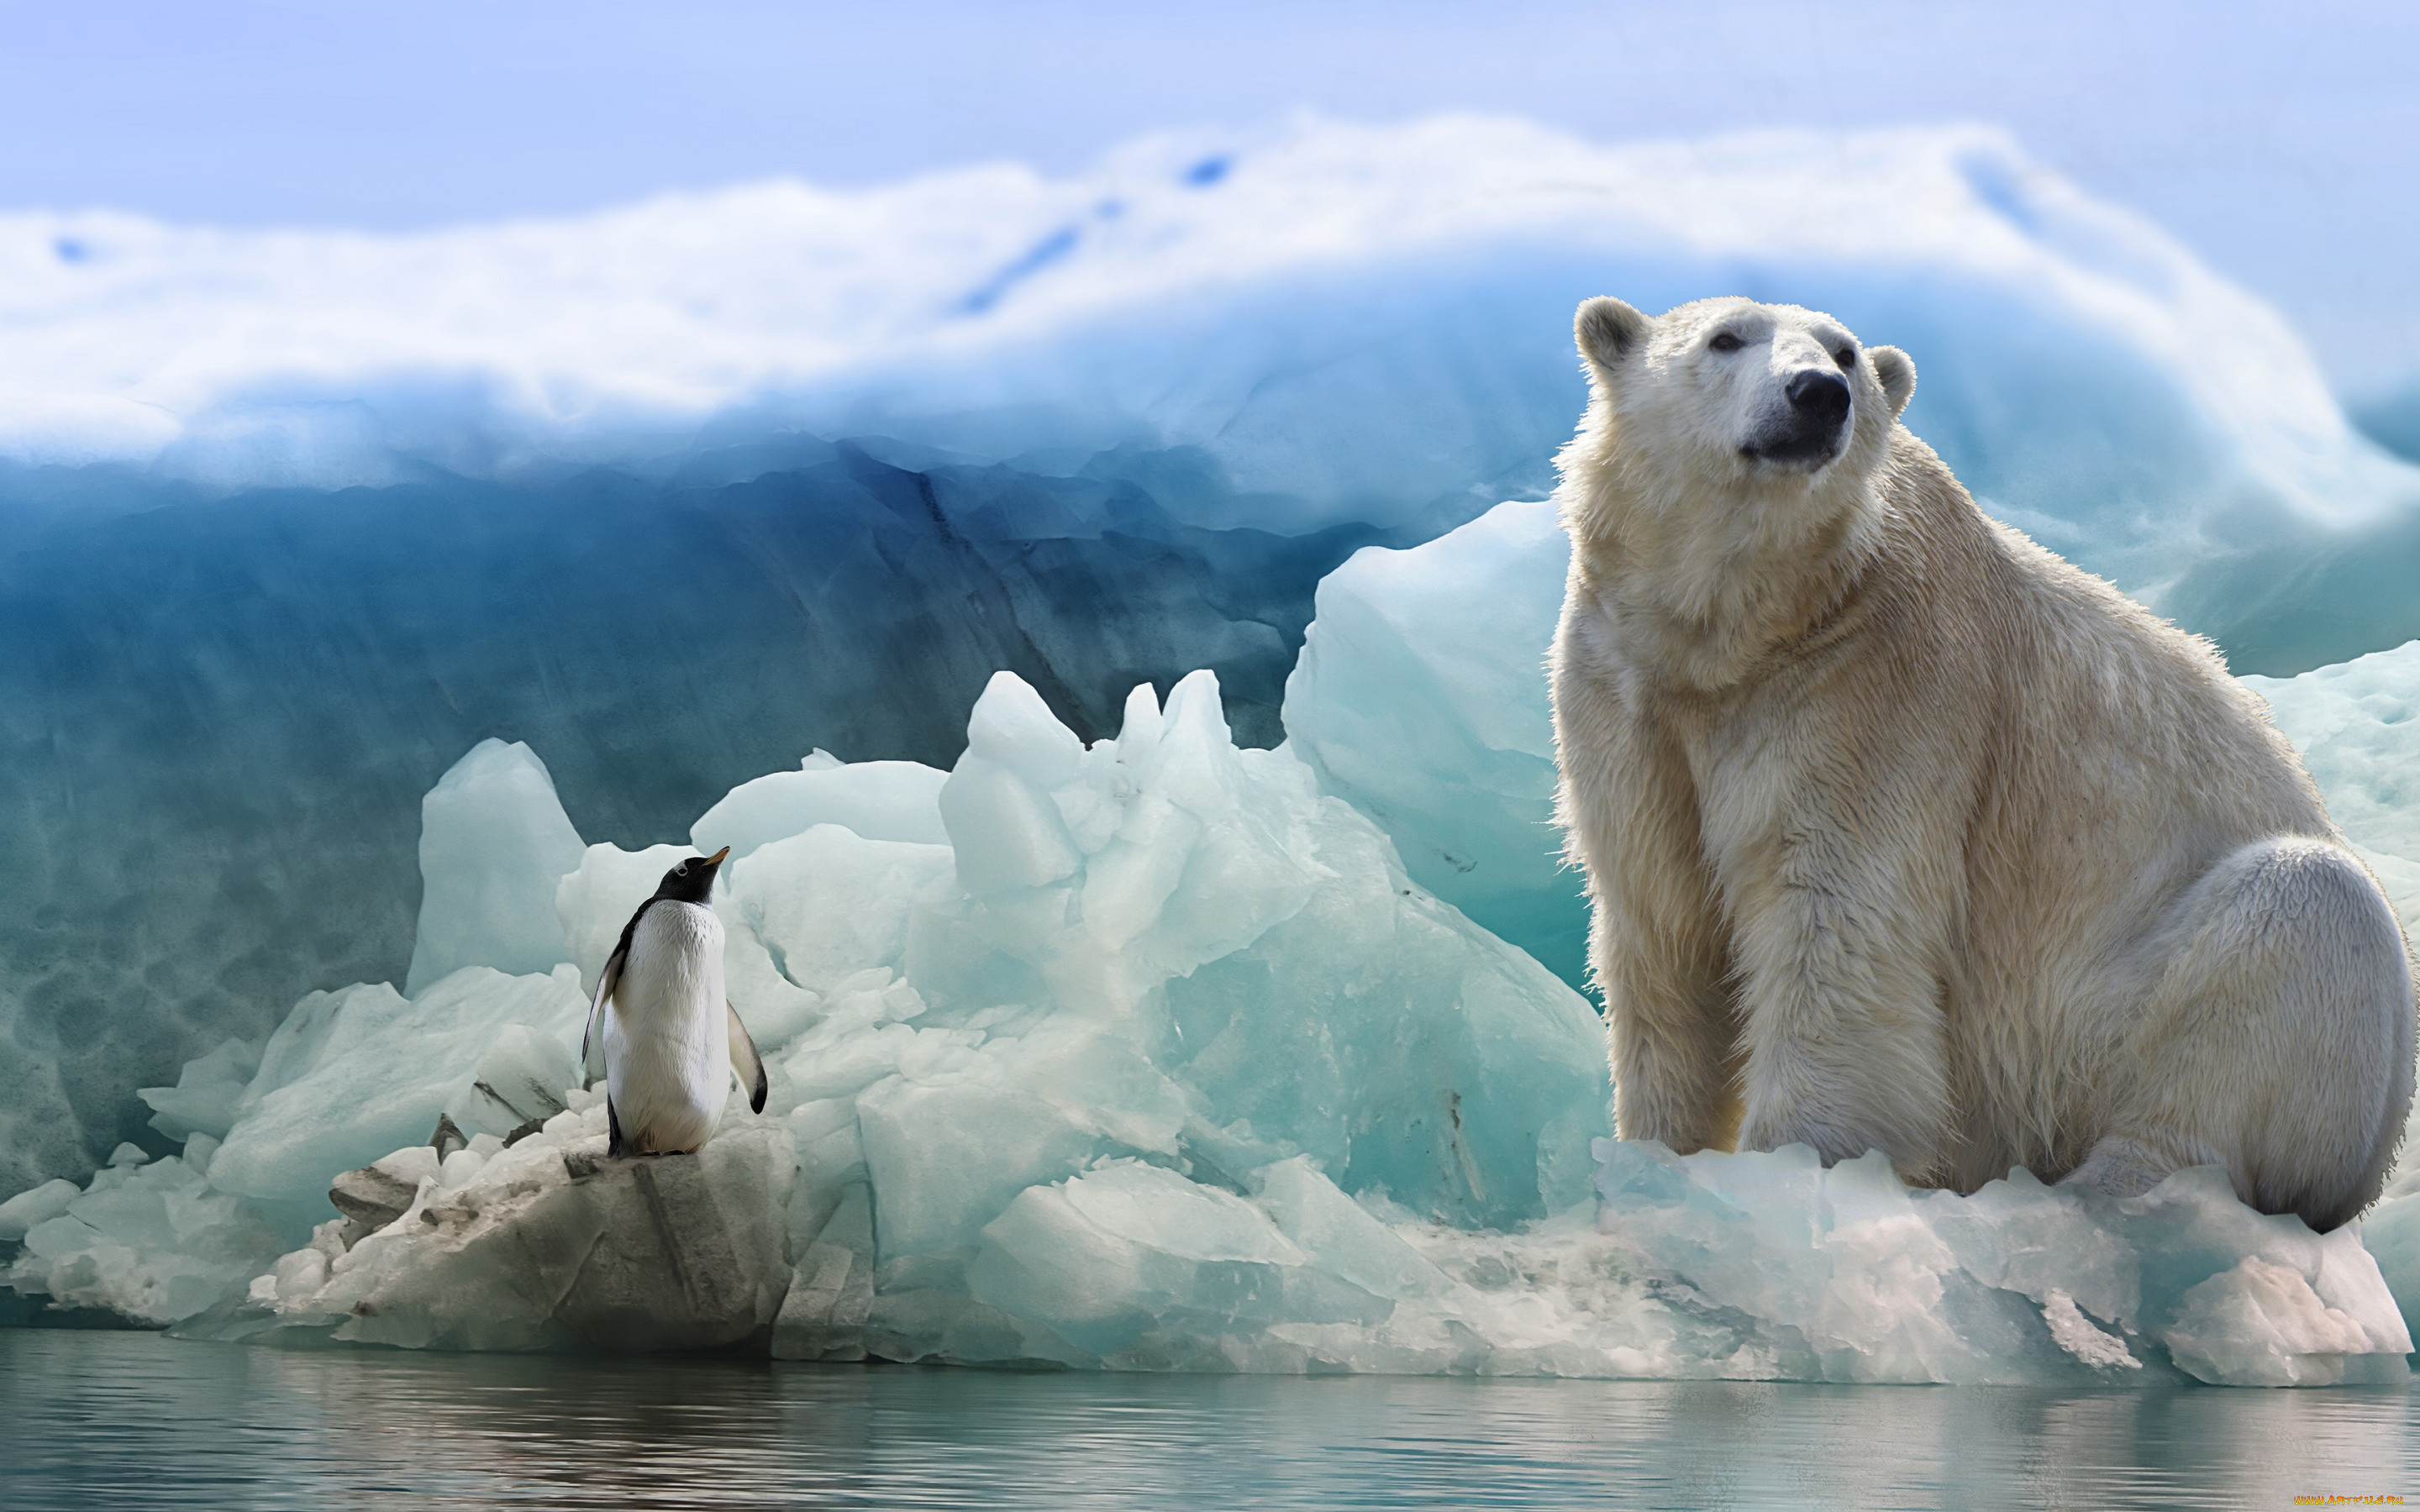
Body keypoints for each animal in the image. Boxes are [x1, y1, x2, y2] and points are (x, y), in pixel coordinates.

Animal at [1549, 291, 2420, 1229]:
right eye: (1725, 339)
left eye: (1846, 353)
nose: (1818, 395)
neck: (1746, 629)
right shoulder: (1627, 692)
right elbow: (1663, 925)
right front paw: (1654, 1160)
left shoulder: (1875, 685)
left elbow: (1835, 925)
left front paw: (1792, 1171)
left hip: (2121, 1020)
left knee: (2298, 922)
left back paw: (2111, 1194)